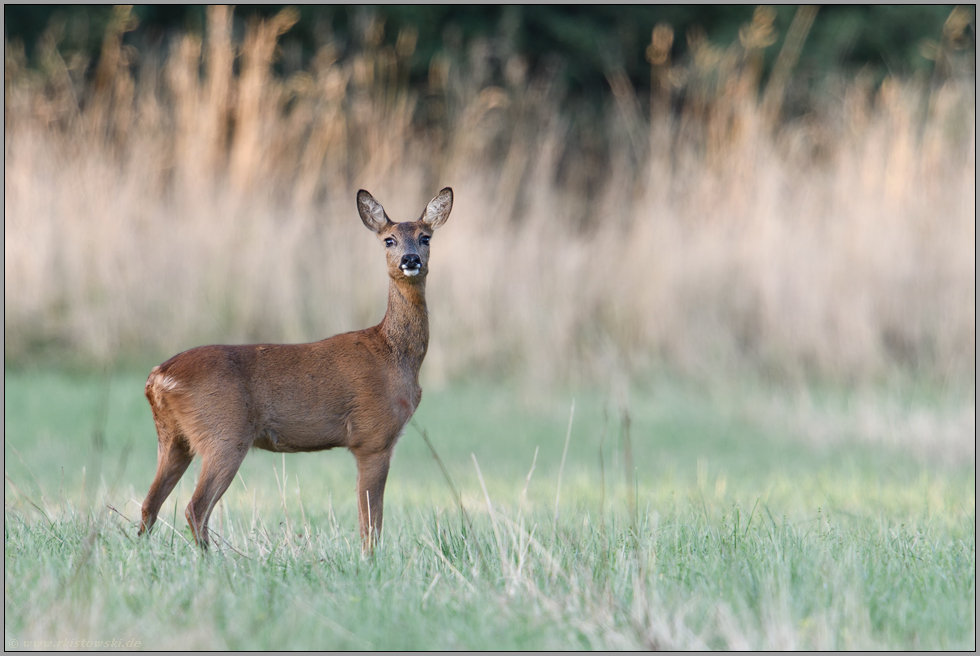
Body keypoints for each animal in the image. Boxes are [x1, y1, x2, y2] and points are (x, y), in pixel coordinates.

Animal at [136, 187, 454, 552]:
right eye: (389, 240)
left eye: (425, 237)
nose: (410, 260)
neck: (393, 355)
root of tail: (157, 377)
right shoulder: (372, 437)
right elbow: (371, 522)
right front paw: (370, 559)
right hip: (224, 433)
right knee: (195, 507)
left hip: (173, 437)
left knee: (149, 505)